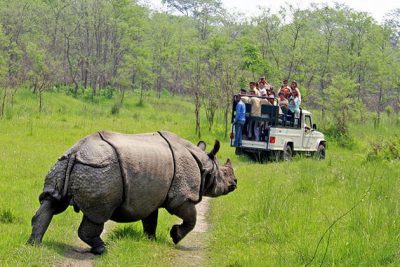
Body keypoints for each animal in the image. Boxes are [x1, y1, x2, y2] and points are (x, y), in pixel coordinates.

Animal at [27, 132, 238, 255]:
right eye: (224, 174)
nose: (235, 183)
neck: (204, 165)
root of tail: (76, 152)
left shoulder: (150, 197)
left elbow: (150, 220)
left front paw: (151, 240)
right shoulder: (181, 195)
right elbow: (191, 218)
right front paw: (175, 236)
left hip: (63, 165)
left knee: (51, 202)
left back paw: (34, 245)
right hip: (101, 170)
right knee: (98, 215)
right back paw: (102, 249)